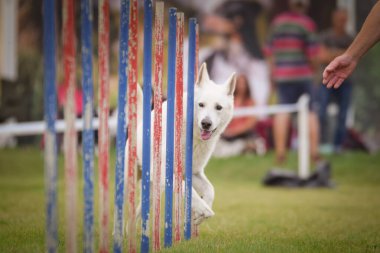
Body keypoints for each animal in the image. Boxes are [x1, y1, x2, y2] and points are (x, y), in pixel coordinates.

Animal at [124, 63, 236, 225]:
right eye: (201, 104)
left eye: (218, 107)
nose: (206, 123)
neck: (192, 136)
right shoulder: (167, 171)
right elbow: (186, 189)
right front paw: (203, 209)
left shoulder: (194, 173)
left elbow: (210, 190)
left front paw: (198, 215)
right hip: (129, 180)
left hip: (152, 189)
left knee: (138, 214)